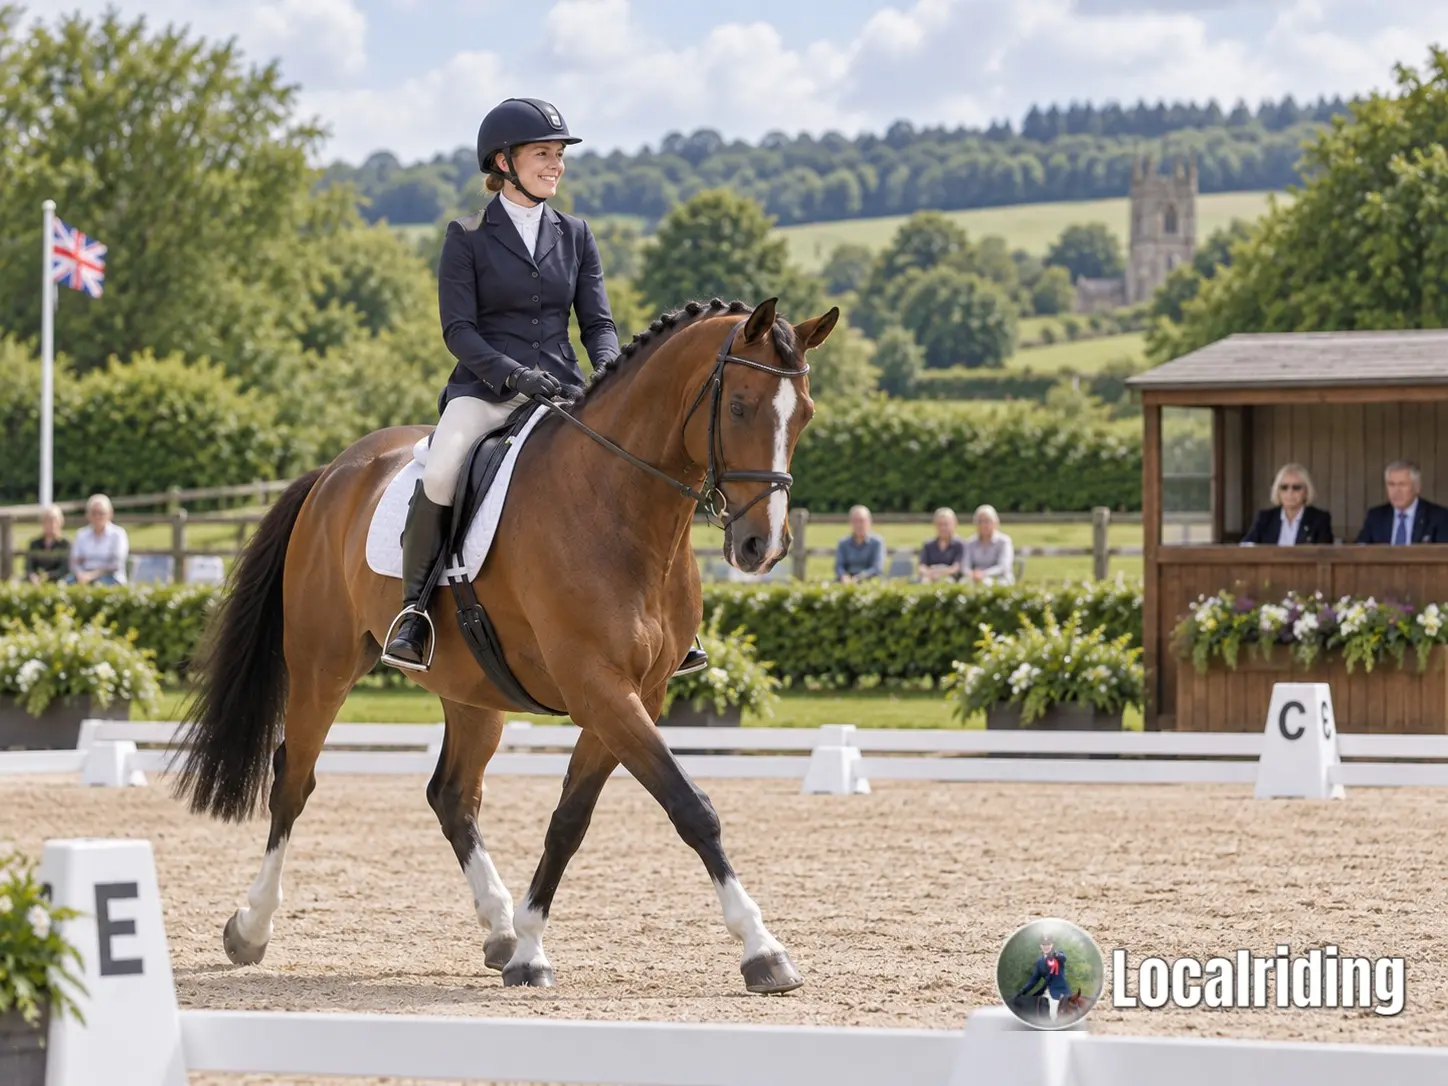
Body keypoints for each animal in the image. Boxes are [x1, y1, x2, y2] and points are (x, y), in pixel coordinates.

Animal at [169, 296, 838, 996]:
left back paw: (499, 929)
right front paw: (763, 949)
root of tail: (334, 471)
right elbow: (691, 806)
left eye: (805, 414)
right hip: (322, 667)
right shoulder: (599, 687)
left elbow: (570, 819)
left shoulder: (635, 694)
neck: (617, 503)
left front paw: (530, 949)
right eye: (739, 407)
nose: (763, 547)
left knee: (452, 796)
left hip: (471, 691)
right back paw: (251, 928)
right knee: (293, 782)